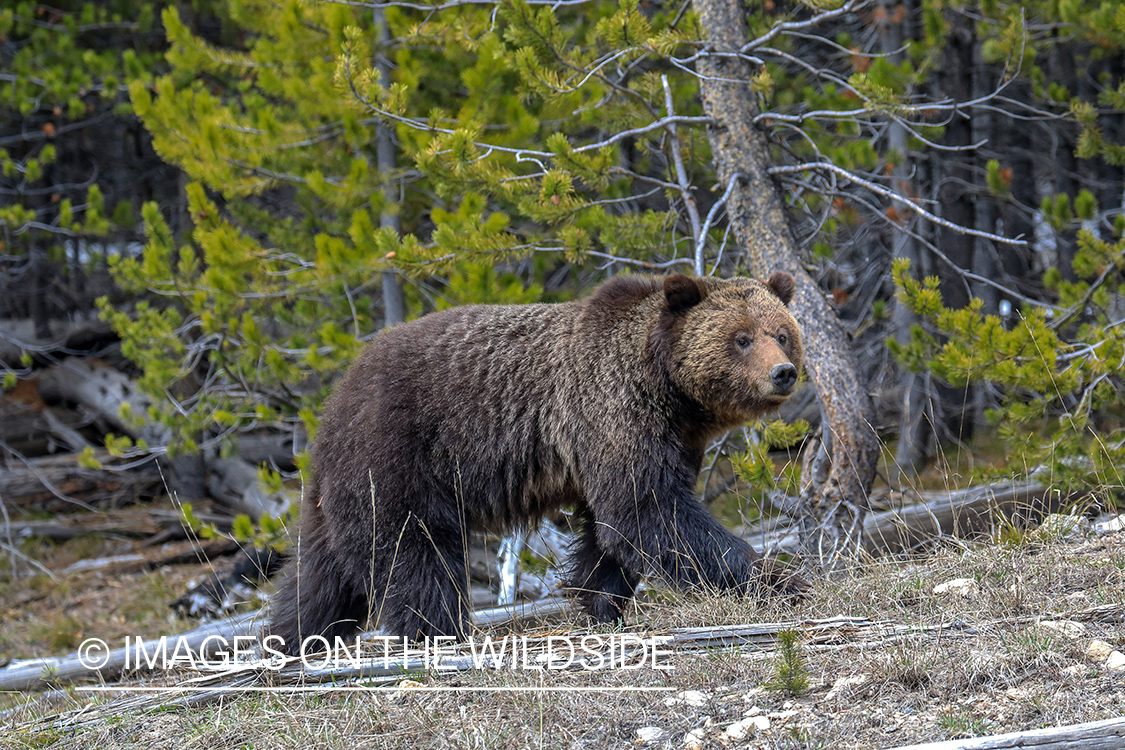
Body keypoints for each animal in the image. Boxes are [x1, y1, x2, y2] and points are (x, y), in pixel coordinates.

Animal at [264, 273, 810, 652]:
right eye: (741, 338)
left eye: (782, 333)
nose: (783, 372)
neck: (670, 391)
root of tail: (336, 398)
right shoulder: (612, 409)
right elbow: (650, 511)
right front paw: (780, 582)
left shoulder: (664, 440)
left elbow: (613, 530)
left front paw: (601, 603)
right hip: (398, 456)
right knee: (414, 553)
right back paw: (438, 633)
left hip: (339, 489)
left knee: (320, 575)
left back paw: (290, 641)